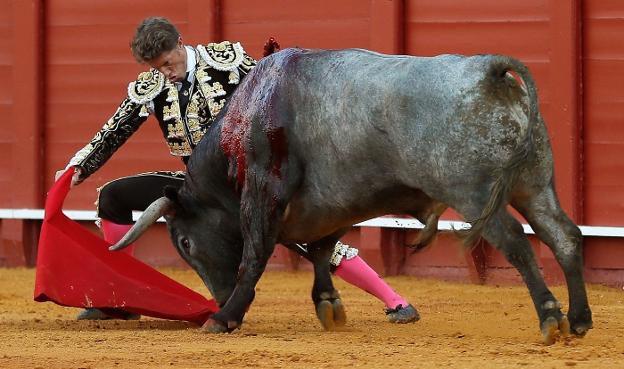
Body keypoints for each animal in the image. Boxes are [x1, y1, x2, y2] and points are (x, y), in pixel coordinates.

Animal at [109, 47, 592, 344]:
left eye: (185, 242)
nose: (219, 296)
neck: (246, 118)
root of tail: (488, 69)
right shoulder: (336, 202)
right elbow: (324, 251)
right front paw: (327, 303)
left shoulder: (263, 194)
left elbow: (255, 255)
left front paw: (225, 317)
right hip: (535, 185)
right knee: (564, 235)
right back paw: (580, 320)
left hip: (476, 196)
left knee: (517, 243)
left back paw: (551, 316)